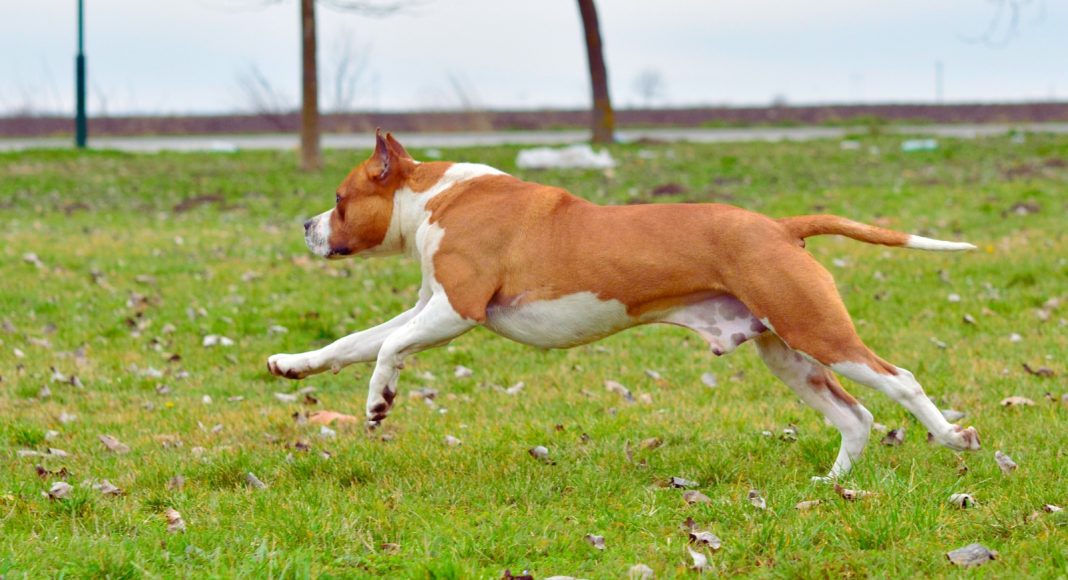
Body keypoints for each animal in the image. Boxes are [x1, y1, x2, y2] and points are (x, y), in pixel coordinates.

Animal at [267, 130, 978, 480]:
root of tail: (779, 227)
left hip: (818, 331)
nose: (304, 225)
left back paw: (953, 437)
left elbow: (386, 348)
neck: (434, 197)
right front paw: (294, 364)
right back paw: (832, 485)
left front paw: (379, 401)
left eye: (339, 198)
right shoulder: (427, 307)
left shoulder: (455, 311)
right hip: (788, 354)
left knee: (902, 381)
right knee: (854, 416)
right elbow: (353, 342)